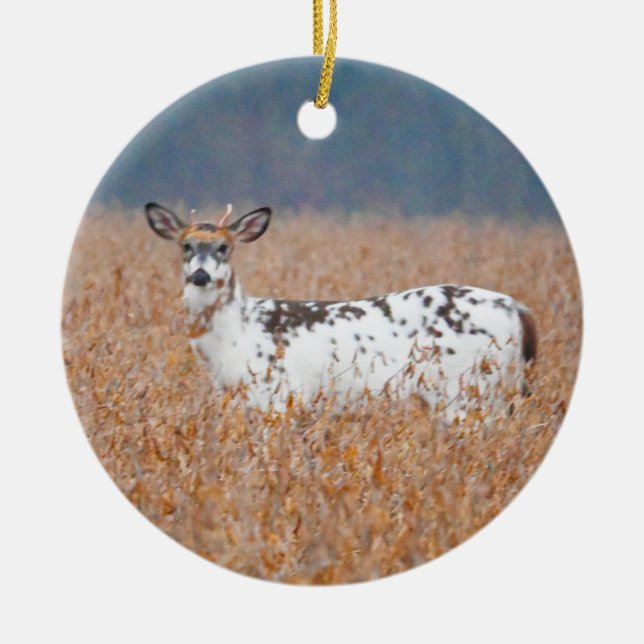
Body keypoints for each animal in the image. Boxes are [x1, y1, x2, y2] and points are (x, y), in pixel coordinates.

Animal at [145, 202, 537, 420]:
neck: (234, 340)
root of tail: (515, 307)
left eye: (224, 247)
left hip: (469, 388)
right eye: (186, 245)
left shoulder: (278, 395)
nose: (200, 275)